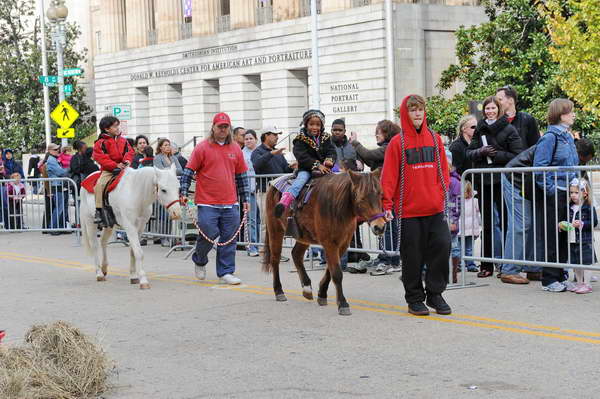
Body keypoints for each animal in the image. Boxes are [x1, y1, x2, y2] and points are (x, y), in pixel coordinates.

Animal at [264, 170, 386, 318]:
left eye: (380, 194)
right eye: (361, 198)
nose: (379, 227)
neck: (336, 205)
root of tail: (273, 184)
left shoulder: (342, 244)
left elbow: (330, 270)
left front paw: (322, 294)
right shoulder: (330, 244)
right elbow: (337, 273)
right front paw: (343, 304)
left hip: (304, 237)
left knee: (296, 255)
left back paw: (306, 288)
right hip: (275, 229)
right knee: (275, 259)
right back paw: (279, 291)